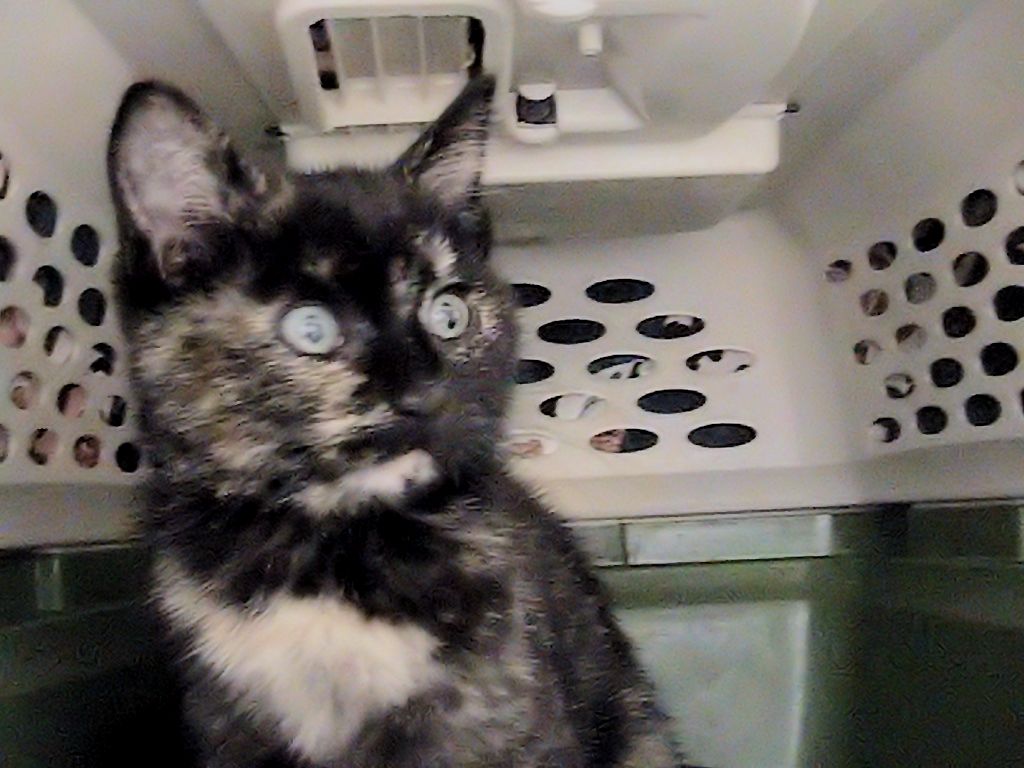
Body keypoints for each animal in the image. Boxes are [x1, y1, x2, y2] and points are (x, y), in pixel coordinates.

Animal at [107, 75, 693, 768]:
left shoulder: (510, 723)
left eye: (449, 313)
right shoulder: (229, 727)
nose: (426, 392)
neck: (327, 553)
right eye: (311, 329)